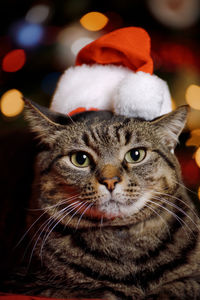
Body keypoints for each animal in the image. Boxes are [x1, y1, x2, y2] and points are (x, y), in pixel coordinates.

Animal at [1, 99, 200, 298]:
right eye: (80, 159)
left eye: (136, 155)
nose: (110, 181)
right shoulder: (27, 283)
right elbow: (100, 291)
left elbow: (180, 285)